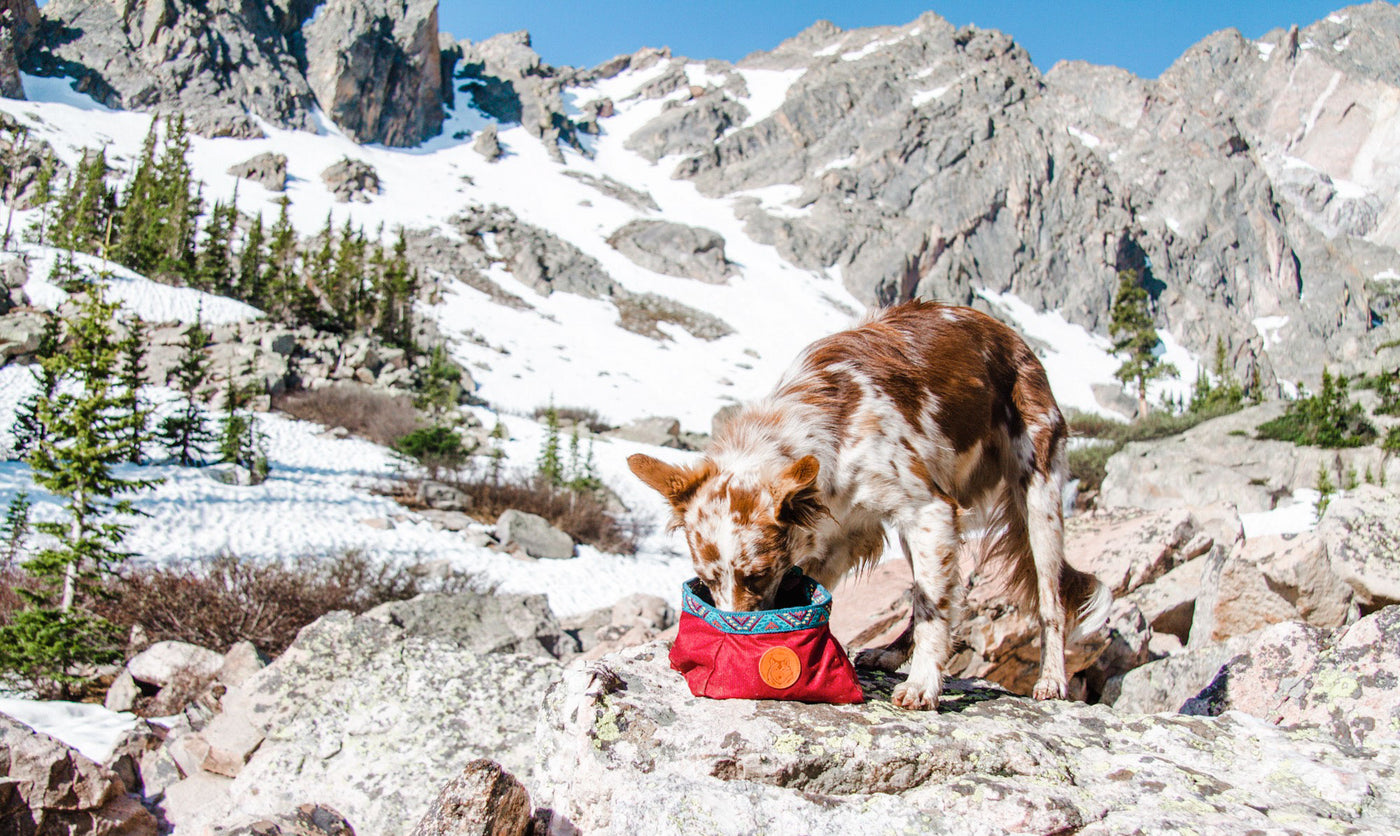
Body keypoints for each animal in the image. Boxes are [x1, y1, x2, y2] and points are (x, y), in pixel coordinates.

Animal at [630, 296, 1108, 708]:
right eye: (706, 580)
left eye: (757, 575)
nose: (734, 634)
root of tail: (1010, 336)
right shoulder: (844, 535)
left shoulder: (930, 510)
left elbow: (933, 608)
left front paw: (924, 684)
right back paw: (892, 654)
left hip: (1038, 499)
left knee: (1049, 601)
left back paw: (1051, 678)